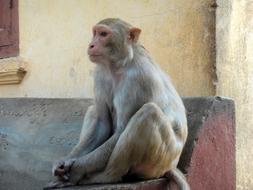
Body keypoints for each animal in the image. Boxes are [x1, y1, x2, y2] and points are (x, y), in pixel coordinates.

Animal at [44, 18, 189, 190]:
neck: (119, 65)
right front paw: (65, 161)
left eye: (103, 34)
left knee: (149, 113)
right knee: (94, 110)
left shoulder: (138, 79)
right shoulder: (100, 73)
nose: (91, 45)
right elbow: (102, 124)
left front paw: (76, 170)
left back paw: (104, 176)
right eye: (95, 33)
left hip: (160, 162)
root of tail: (171, 166)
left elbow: (120, 131)